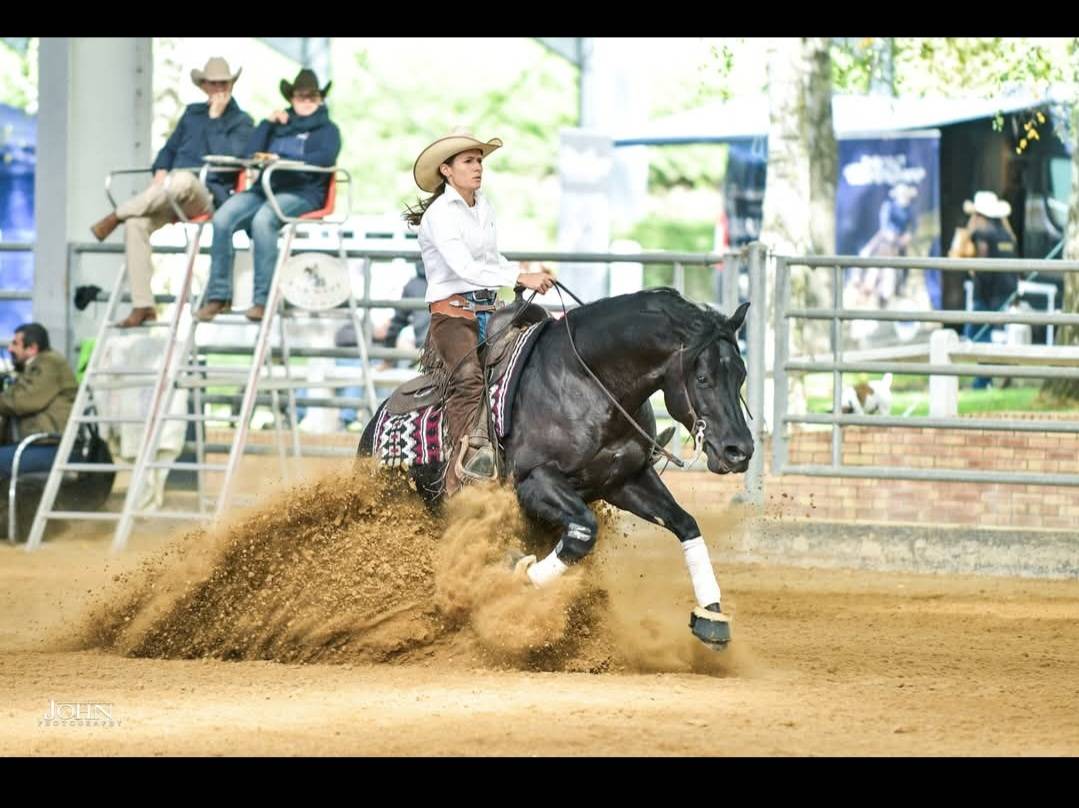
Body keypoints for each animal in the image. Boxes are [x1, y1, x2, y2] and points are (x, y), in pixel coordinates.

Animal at [359, 288, 753, 649]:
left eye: (742, 375)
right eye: (702, 378)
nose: (740, 450)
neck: (589, 382)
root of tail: (372, 426)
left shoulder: (625, 480)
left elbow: (686, 524)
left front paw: (712, 616)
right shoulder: (534, 482)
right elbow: (582, 533)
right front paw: (517, 578)